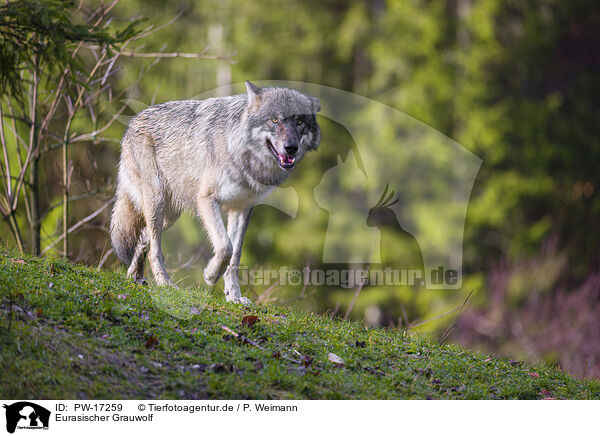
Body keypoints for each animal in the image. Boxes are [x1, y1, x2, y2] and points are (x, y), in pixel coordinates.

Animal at [110, 81, 322, 304]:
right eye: (274, 120)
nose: (291, 148)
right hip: (157, 202)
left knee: (143, 239)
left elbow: (235, 256)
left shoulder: (242, 209)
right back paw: (164, 284)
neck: (241, 155)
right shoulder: (207, 200)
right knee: (154, 250)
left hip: (169, 215)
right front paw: (211, 275)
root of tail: (133, 121)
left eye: (299, 122)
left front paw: (234, 297)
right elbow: (224, 246)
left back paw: (134, 278)